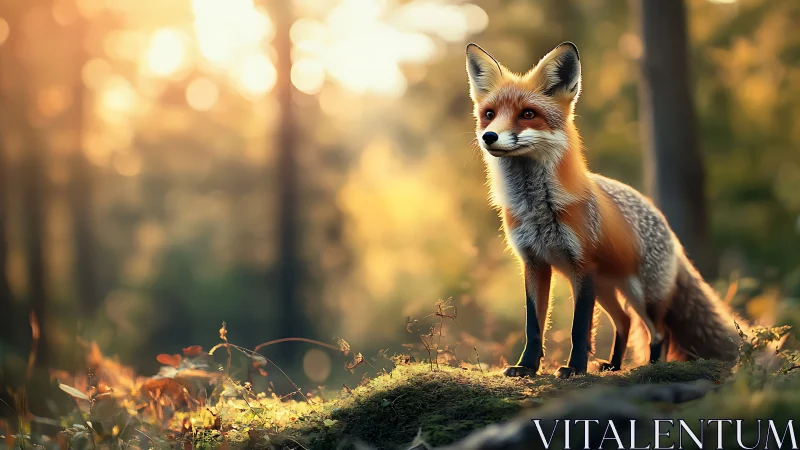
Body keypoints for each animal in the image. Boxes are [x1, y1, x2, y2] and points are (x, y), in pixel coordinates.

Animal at [465, 41, 743, 379]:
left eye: (528, 114)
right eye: (489, 115)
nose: (488, 136)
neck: (538, 208)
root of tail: (663, 220)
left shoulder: (582, 265)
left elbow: (579, 329)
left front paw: (575, 369)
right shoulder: (534, 264)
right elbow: (534, 327)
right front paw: (527, 367)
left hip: (640, 294)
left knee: (658, 331)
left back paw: (651, 368)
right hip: (608, 288)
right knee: (625, 321)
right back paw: (614, 365)